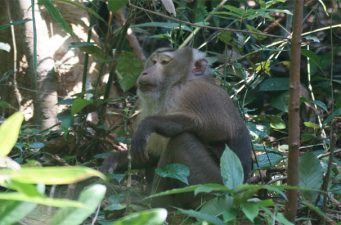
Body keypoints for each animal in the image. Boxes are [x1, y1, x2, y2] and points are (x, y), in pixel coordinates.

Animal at [102, 47, 251, 209]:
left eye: (164, 62)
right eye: (153, 61)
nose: (145, 72)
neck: (177, 84)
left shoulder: (196, 93)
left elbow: (218, 128)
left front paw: (149, 124)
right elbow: (151, 155)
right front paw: (113, 160)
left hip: (214, 187)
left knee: (182, 140)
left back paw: (153, 203)